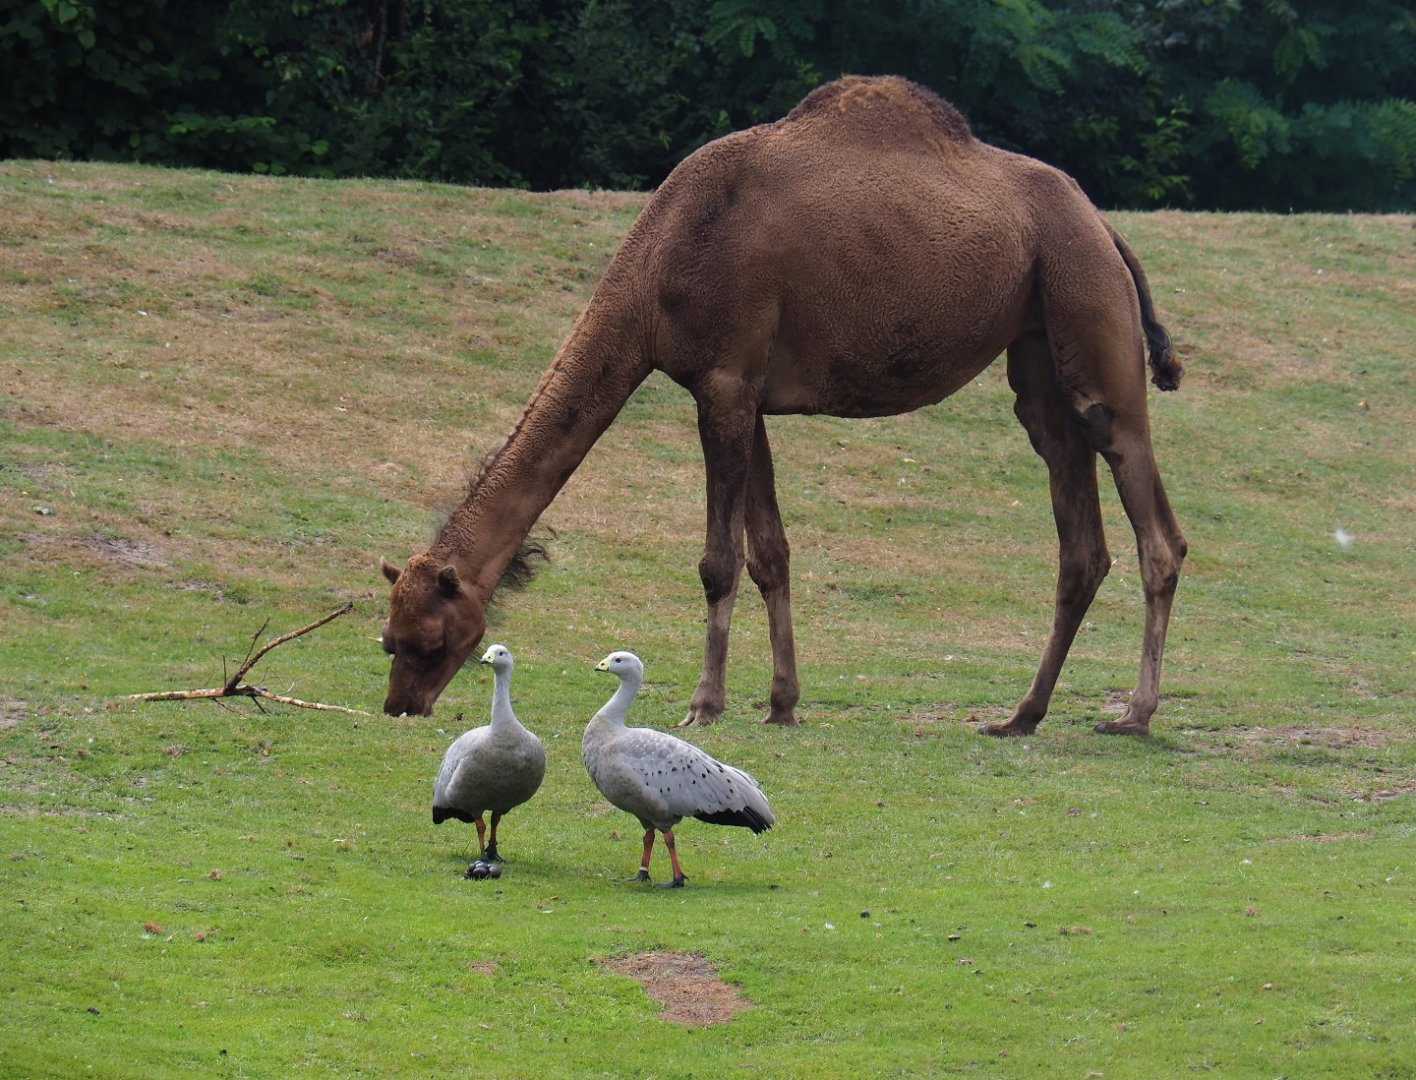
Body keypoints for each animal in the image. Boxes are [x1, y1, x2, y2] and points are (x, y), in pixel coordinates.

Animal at [380, 75, 1188, 736]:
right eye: (388, 636)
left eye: (429, 639)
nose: (398, 706)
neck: (655, 270)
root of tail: (1103, 224)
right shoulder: (748, 395)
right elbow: (770, 553)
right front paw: (781, 703)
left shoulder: (724, 381)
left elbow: (718, 561)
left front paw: (704, 705)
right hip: (1039, 340)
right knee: (1077, 530)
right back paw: (1021, 716)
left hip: (1089, 305)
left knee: (1152, 520)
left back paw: (1134, 716)